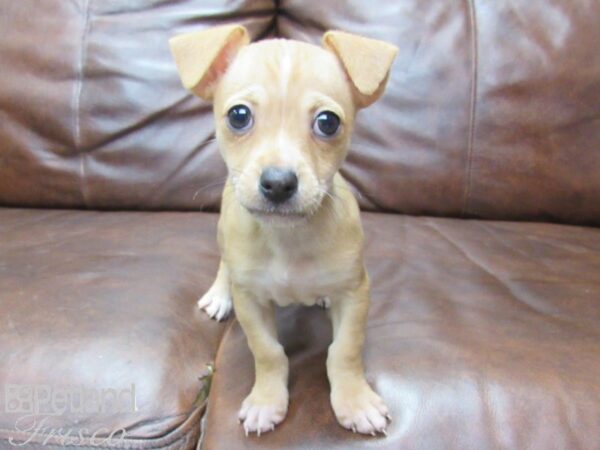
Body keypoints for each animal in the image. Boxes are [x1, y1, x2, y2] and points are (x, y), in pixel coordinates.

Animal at [169, 24, 396, 436]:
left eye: (328, 122)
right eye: (239, 116)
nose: (278, 183)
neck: (288, 239)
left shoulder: (355, 293)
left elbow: (345, 350)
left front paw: (355, 401)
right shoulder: (251, 302)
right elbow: (268, 352)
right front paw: (266, 401)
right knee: (224, 264)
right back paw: (219, 294)